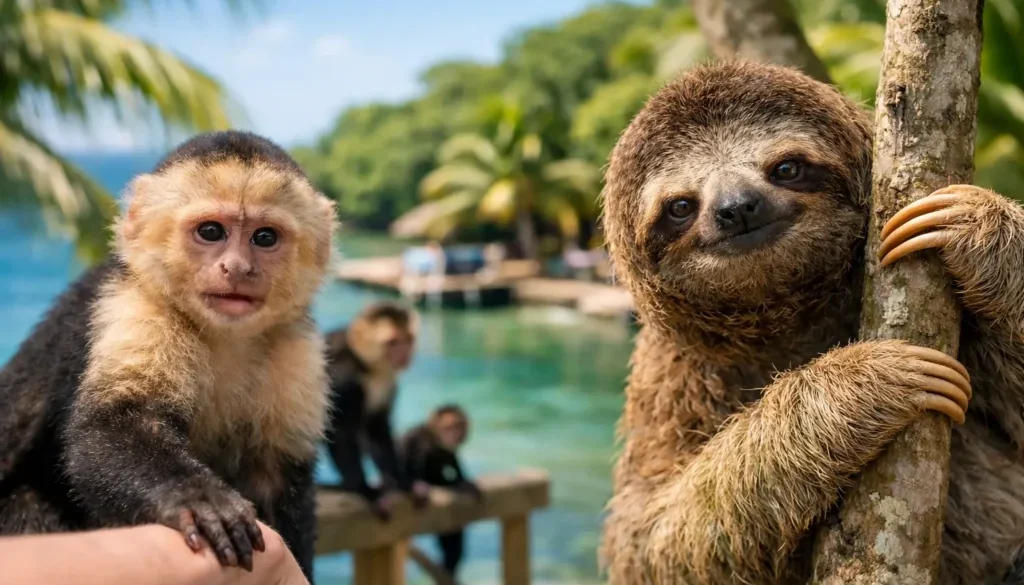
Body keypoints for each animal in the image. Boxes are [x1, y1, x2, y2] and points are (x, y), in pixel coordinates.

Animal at [0, 130, 338, 581]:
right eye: (211, 232)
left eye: (265, 237)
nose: (237, 268)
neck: (223, 336)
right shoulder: (135, 305)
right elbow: (116, 424)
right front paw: (195, 497)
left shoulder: (297, 347)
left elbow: (278, 476)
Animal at [321, 301, 430, 520]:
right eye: (392, 342)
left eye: (407, 339)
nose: (403, 354)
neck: (364, 363)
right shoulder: (343, 376)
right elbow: (342, 434)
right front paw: (365, 491)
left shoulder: (387, 381)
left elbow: (377, 428)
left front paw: (404, 483)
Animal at [398, 404, 482, 578]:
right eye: (447, 427)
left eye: (458, 427)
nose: (452, 434)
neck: (436, 442)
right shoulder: (417, 436)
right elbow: (410, 453)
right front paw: (418, 486)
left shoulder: (448, 451)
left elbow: (453, 461)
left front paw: (463, 482)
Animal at [596, 60, 1024, 585]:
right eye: (680, 206)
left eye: (787, 168)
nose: (736, 207)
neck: (793, 320)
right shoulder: (670, 371)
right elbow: (645, 538)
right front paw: (859, 386)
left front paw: (979, 226)